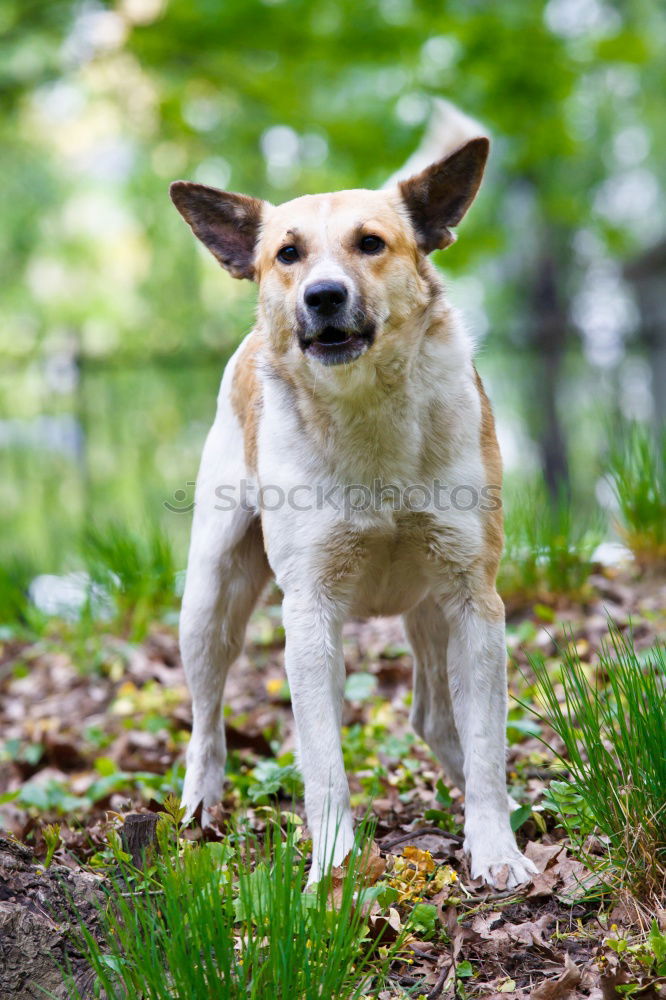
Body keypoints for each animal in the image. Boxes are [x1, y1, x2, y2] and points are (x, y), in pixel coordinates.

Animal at [170, 117, 536, 892]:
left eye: (371, 242)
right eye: (287, 253)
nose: (323, 296)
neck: (369, 417)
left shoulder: (473, 599)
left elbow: (486, 740)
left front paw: (495, 847)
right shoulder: (309, 610)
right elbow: (323, 765)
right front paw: (332, 873)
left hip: (430, 608)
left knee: (434, 716)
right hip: (211, 595)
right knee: (208, 716)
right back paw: (198, 804)